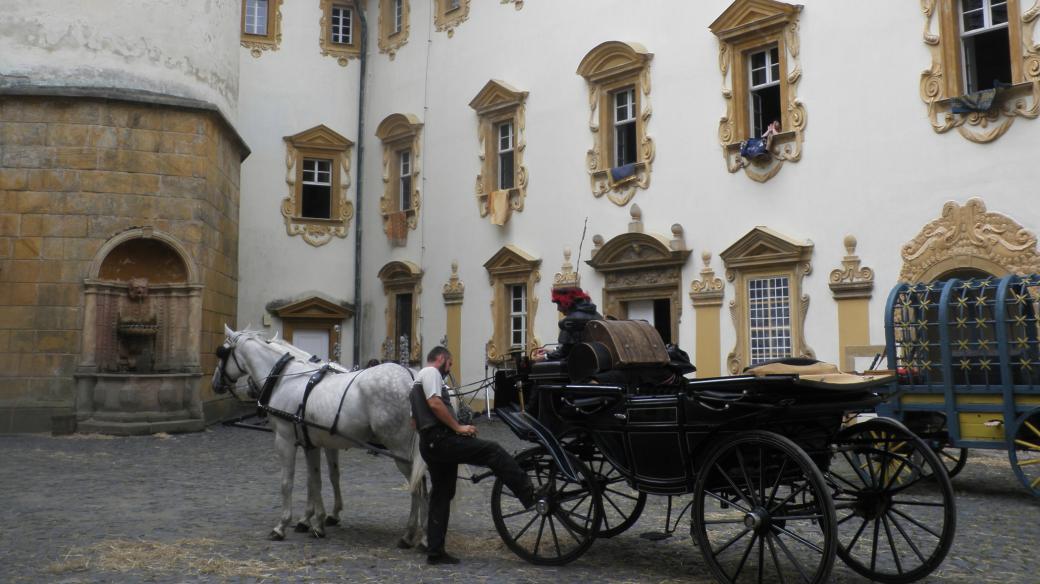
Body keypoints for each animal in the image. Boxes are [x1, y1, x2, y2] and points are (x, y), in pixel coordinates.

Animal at [211, 324, 426, 544]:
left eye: (221, 352)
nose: (215, 383)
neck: (285, 379)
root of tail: (412, 378)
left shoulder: (285, 441)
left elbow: (287, 482)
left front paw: (283, 525)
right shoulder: (312, 443)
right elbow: (315, 480)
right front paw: (316, 522)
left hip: (401, 451)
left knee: (417, 486)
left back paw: (410, 534)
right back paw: (424, 534)